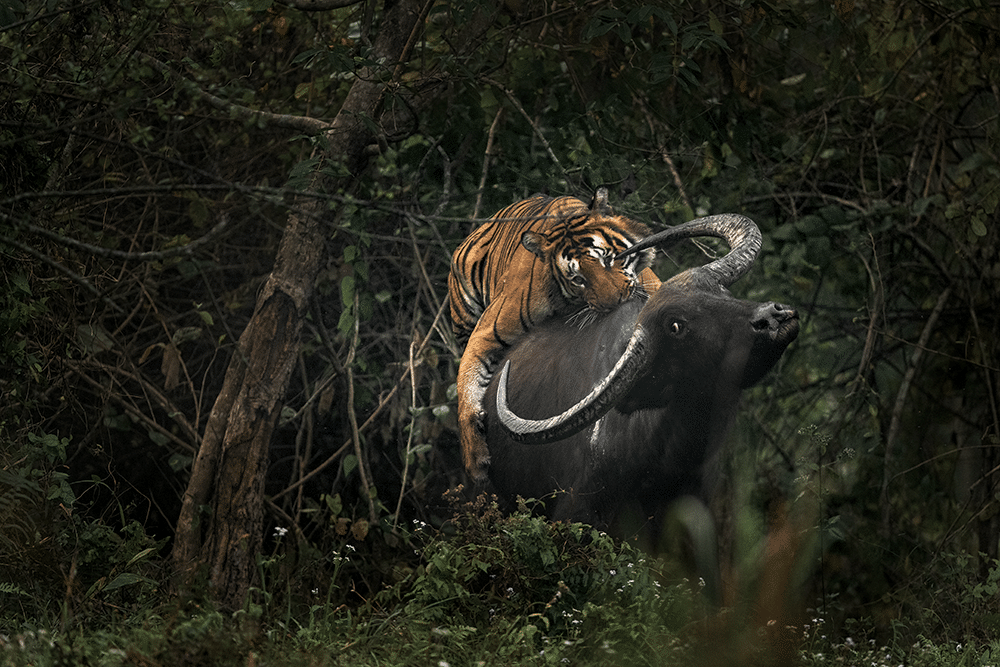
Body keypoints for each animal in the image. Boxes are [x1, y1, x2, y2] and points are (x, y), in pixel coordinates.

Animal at [448, 188, 661, 480]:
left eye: (607, 259)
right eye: (578, 279)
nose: (614, 302)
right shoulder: (485, 332)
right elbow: (466, 385)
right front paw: (475, 460)